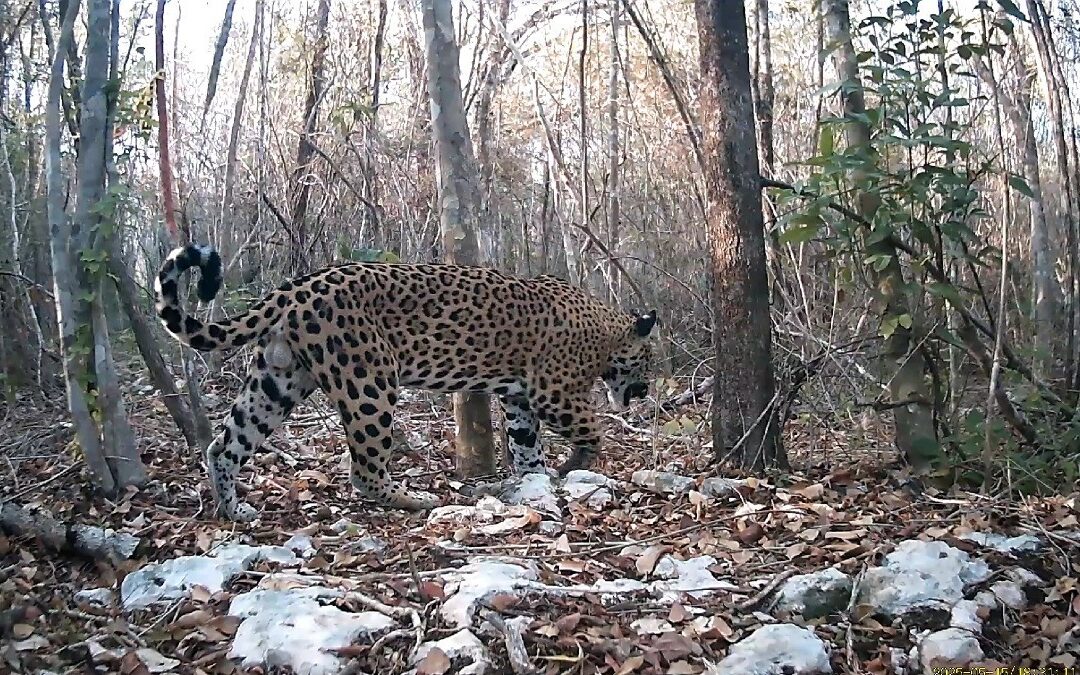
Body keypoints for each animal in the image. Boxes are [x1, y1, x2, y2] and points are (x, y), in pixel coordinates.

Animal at [154, 243, 657, 522]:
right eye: (649, 362)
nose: (646, 391)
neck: (606, 328)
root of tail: (292, 289)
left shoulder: (519, 398)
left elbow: (526, 443)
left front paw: (537, 478)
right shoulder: (554, 391)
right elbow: (591, 429)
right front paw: (577, 462)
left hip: (277, 382)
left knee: (224, 445)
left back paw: (232, 508)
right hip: (369, 384)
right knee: (363, 470)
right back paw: (412, 500)